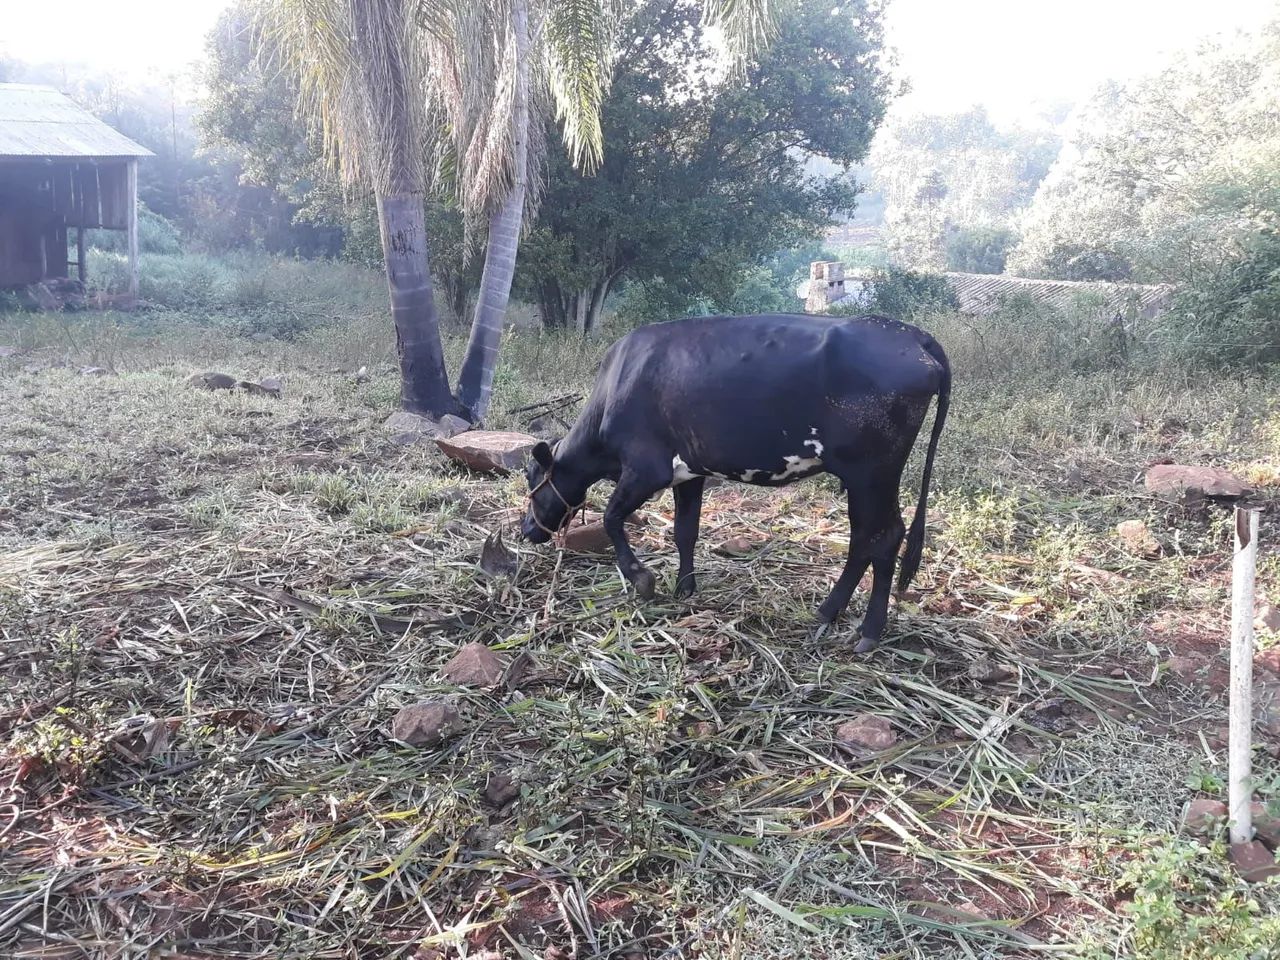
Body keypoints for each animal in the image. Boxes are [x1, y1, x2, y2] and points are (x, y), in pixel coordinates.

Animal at [519, 313, 951, 653]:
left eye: (532, 479)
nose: (526, 530)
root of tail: (908, 333)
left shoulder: (646, 469)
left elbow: (611, 519)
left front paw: (642, 578)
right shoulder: (688, 473)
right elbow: (685, 531)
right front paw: (685, 587)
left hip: (871, 475)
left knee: (882, 538)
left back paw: (868, 630)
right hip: (869, 479)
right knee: (868, 539)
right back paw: (828, 613)